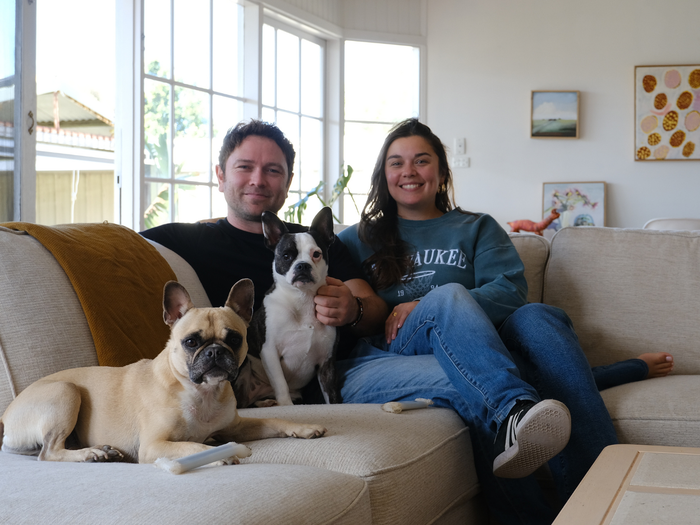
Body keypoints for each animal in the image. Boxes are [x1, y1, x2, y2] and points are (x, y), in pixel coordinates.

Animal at [0, 278, 328, 462]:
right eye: (191, 342)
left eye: (234, 339)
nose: (215, 351)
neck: (202, 392)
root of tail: (7, 416)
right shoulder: (155, 445)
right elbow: (190, 446)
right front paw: (216, 455)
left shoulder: (235, 427)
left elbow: (274, 420)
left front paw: (303, 427)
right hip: (66, 391)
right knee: (49, 452)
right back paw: (91, 453)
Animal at [235, 207, 342, 408]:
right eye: (286, 256)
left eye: (316, 254)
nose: (303, 265)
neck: (302, 298)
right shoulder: (269, 352)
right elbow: (281, 384)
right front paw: (285, 405)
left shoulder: (327, 361)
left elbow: (331, 395)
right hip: (243, 364)